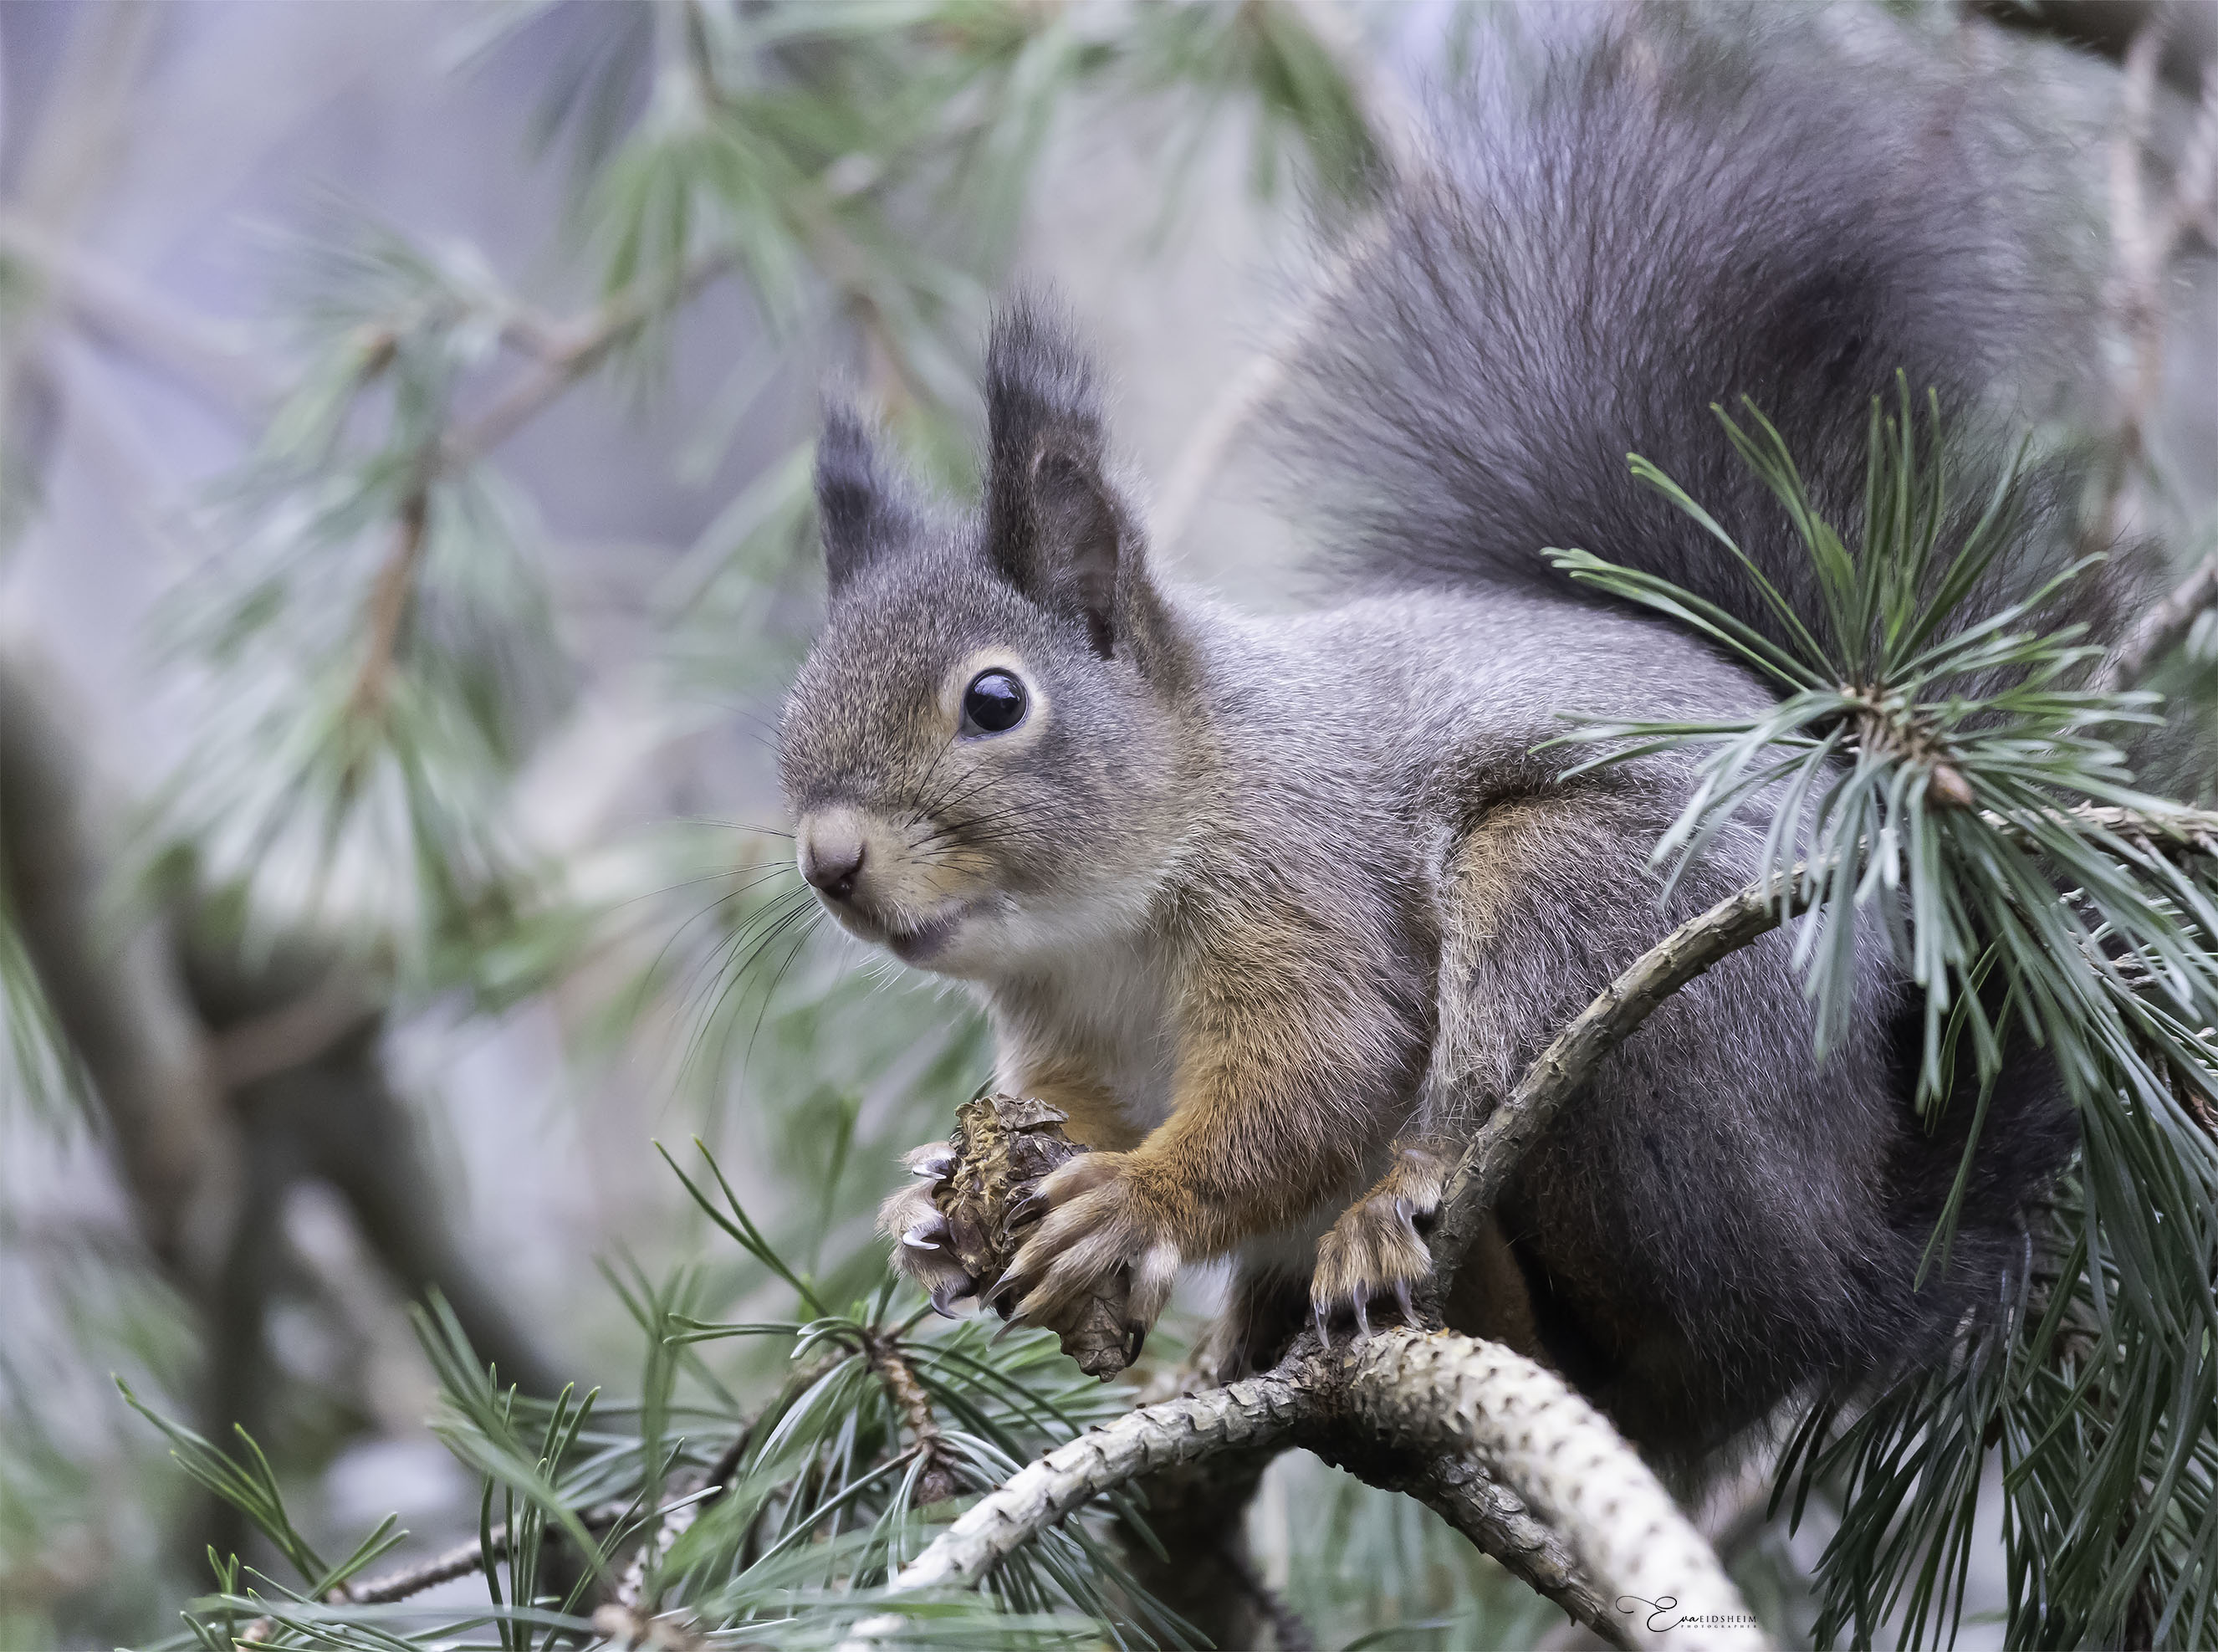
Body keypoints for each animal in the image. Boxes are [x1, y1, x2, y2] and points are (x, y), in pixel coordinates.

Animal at [776, 12, 2106, 1470]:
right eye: (793, 706)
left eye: (996, 701)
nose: (829, 861)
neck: (1107, 913)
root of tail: (1851, 1261)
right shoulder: (1062, 1029)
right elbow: (1074, 1103)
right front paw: (931, 1207)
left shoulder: (1303, 884)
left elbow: (1318, 1074)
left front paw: (1135, 1197)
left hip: (1607, 945)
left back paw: (1402, 1226)